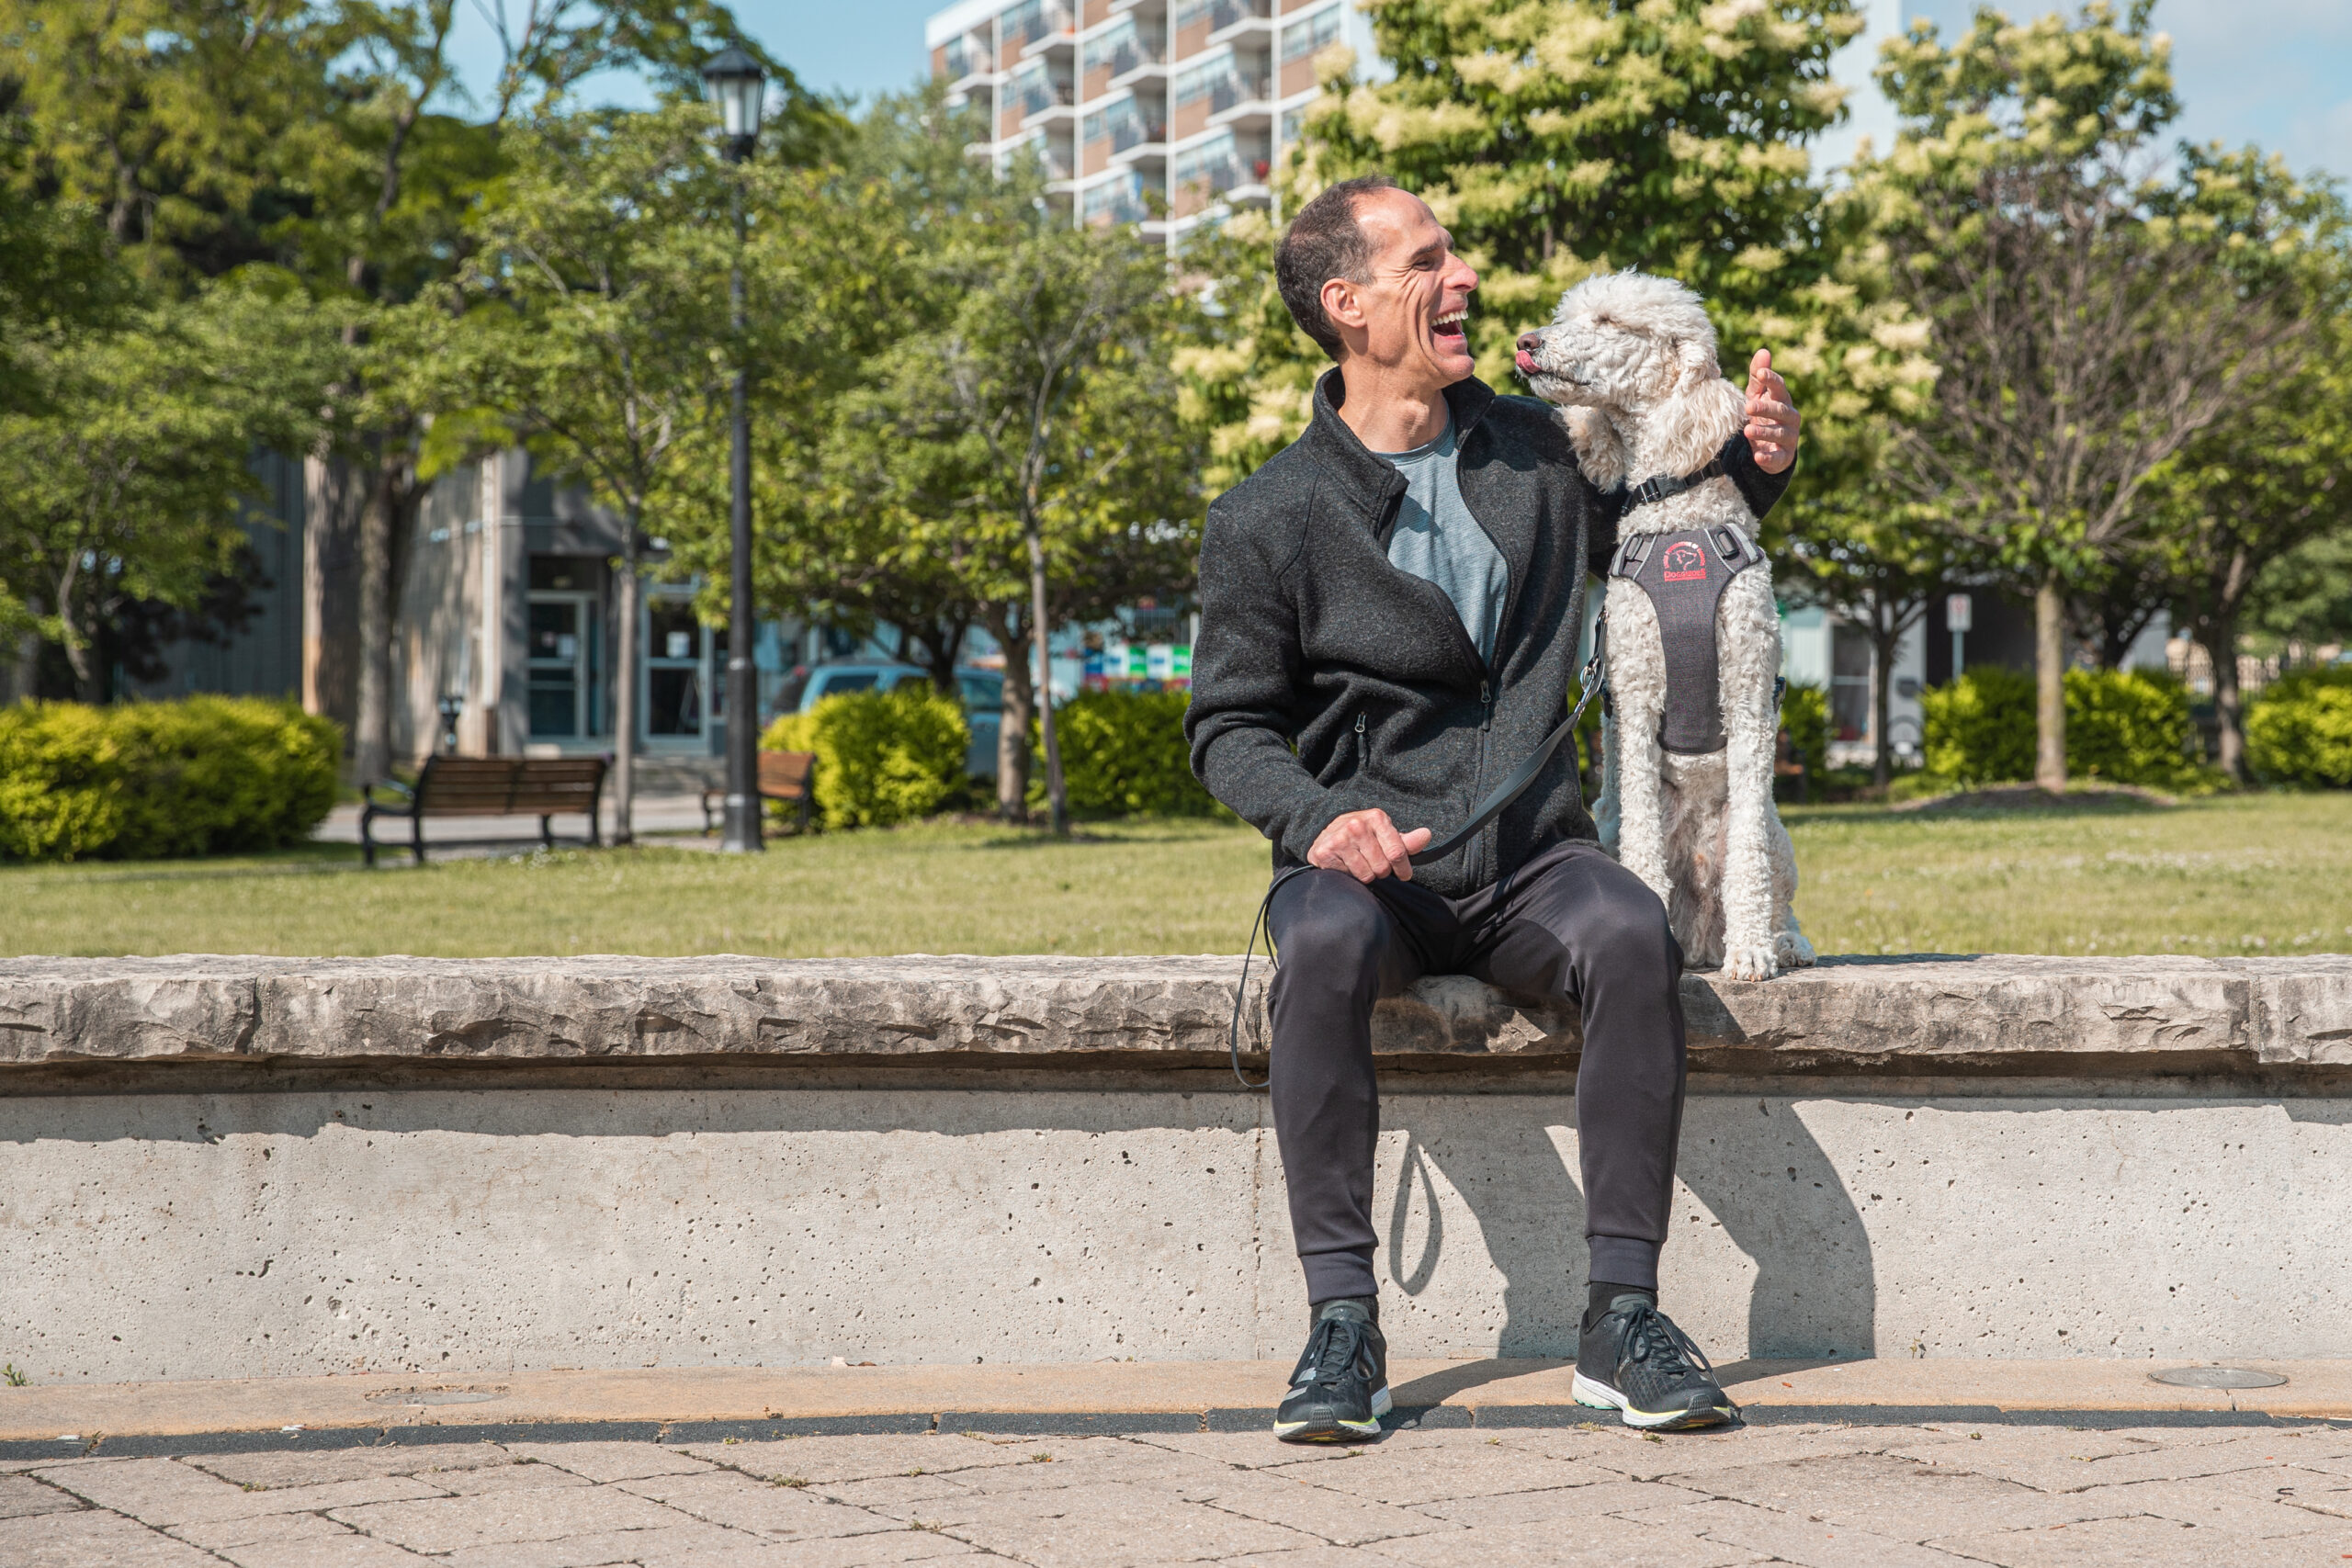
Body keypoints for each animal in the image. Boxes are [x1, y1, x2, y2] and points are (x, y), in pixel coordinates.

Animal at [1514, 271, 1806, 982]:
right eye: (1571, 314)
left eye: (1612, 322)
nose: (1526, 341)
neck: (1678, 517)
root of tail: (1701, 931)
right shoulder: (1636, 700)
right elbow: (1643, 839)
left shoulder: (1750, 696)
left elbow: (1748, 857)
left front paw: (1753, 952)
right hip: (1608, 819)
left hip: (1778, 835)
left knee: (1769, 882)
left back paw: (1780, 941)